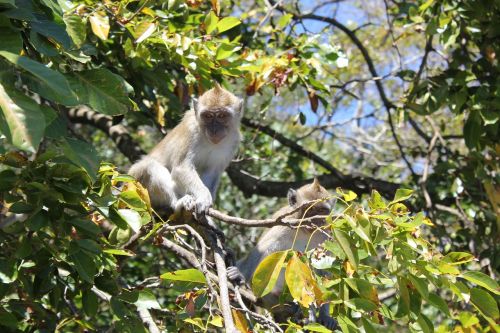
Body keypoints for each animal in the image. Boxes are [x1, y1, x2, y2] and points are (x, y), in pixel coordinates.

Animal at [128, 84, 243, 217]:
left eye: (222, 116)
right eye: (208, 116)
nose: (214, 129)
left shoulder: (234, 141)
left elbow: (212, 171)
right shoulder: (190, 130)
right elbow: (181, 168)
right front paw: (204, 197)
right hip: (136, 185)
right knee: (150, 166)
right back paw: (178, 202)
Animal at [228, 179, 338, 330]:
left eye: (322, 211)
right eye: (310, 210)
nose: (316, 221)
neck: (304, 230)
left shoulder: (326, 234)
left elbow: (325, 272)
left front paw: (325, 316)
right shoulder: (283, 226)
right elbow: (262, 250)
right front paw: (240, 274)